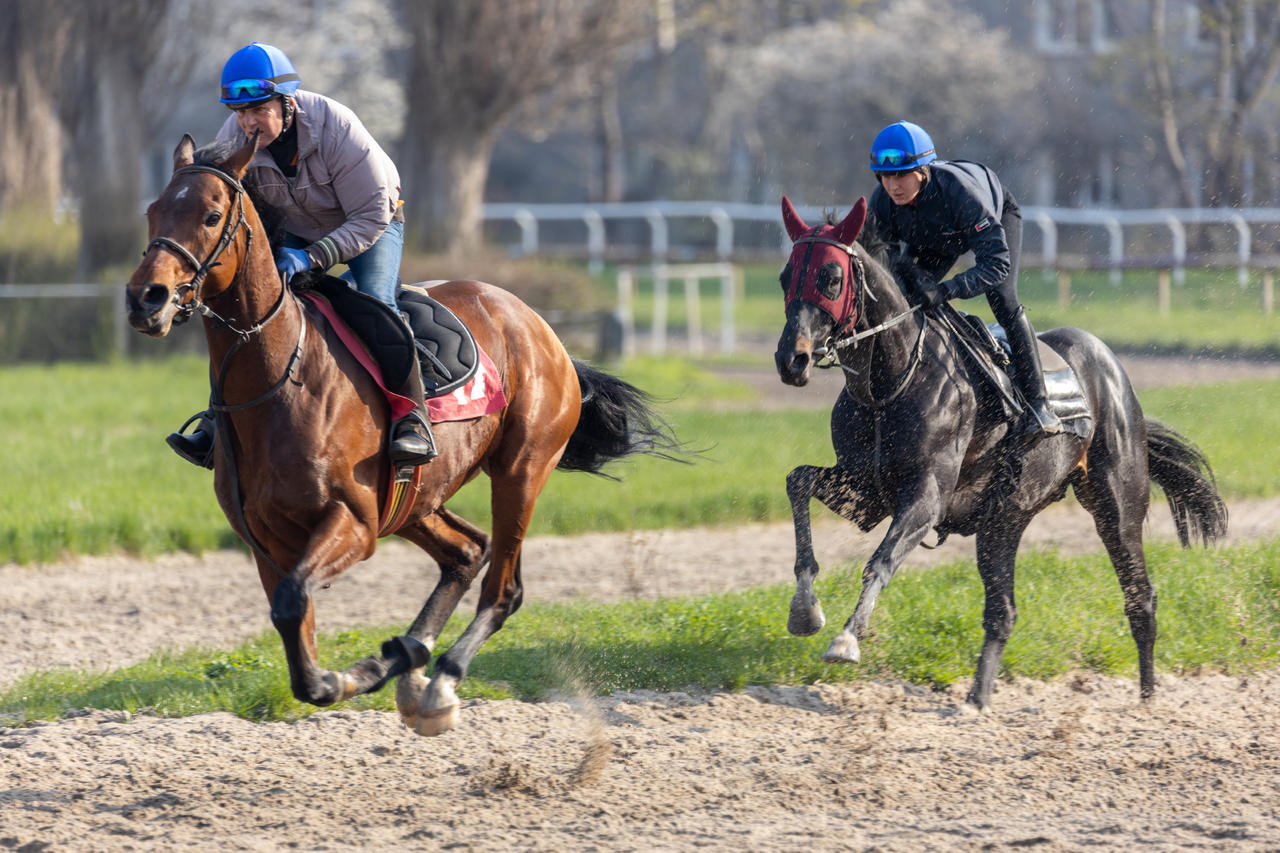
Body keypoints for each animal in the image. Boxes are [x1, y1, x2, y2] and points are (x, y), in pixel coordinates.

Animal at [124, 136, 680, 732]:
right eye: (153, 211)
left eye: (210, 216)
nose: (146, 298)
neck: (280, 382)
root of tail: (543, 330)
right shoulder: (267, 541)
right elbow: (294, 630)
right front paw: (366, 668)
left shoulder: (354, 522)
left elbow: (297, 613)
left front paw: (354, 675)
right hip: (417, 497)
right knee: (467, 551)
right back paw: (411, 660)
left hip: (521, 471)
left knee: (502, 588)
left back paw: (441, 681)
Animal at [773, 195, 1223, 706]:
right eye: (786, 276)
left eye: (831, 277)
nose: (791, 360)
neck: (892, 383)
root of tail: (1110, 368)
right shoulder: (864, 491)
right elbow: (798, 481)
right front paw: (805, 609)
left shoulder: (926, 496)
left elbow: (881, 559)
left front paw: (847, 639)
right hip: (1004, 519)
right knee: (1003, 611)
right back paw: (977, 699)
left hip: (1116, 504)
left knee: (1139, 596)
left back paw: (1147, 701)